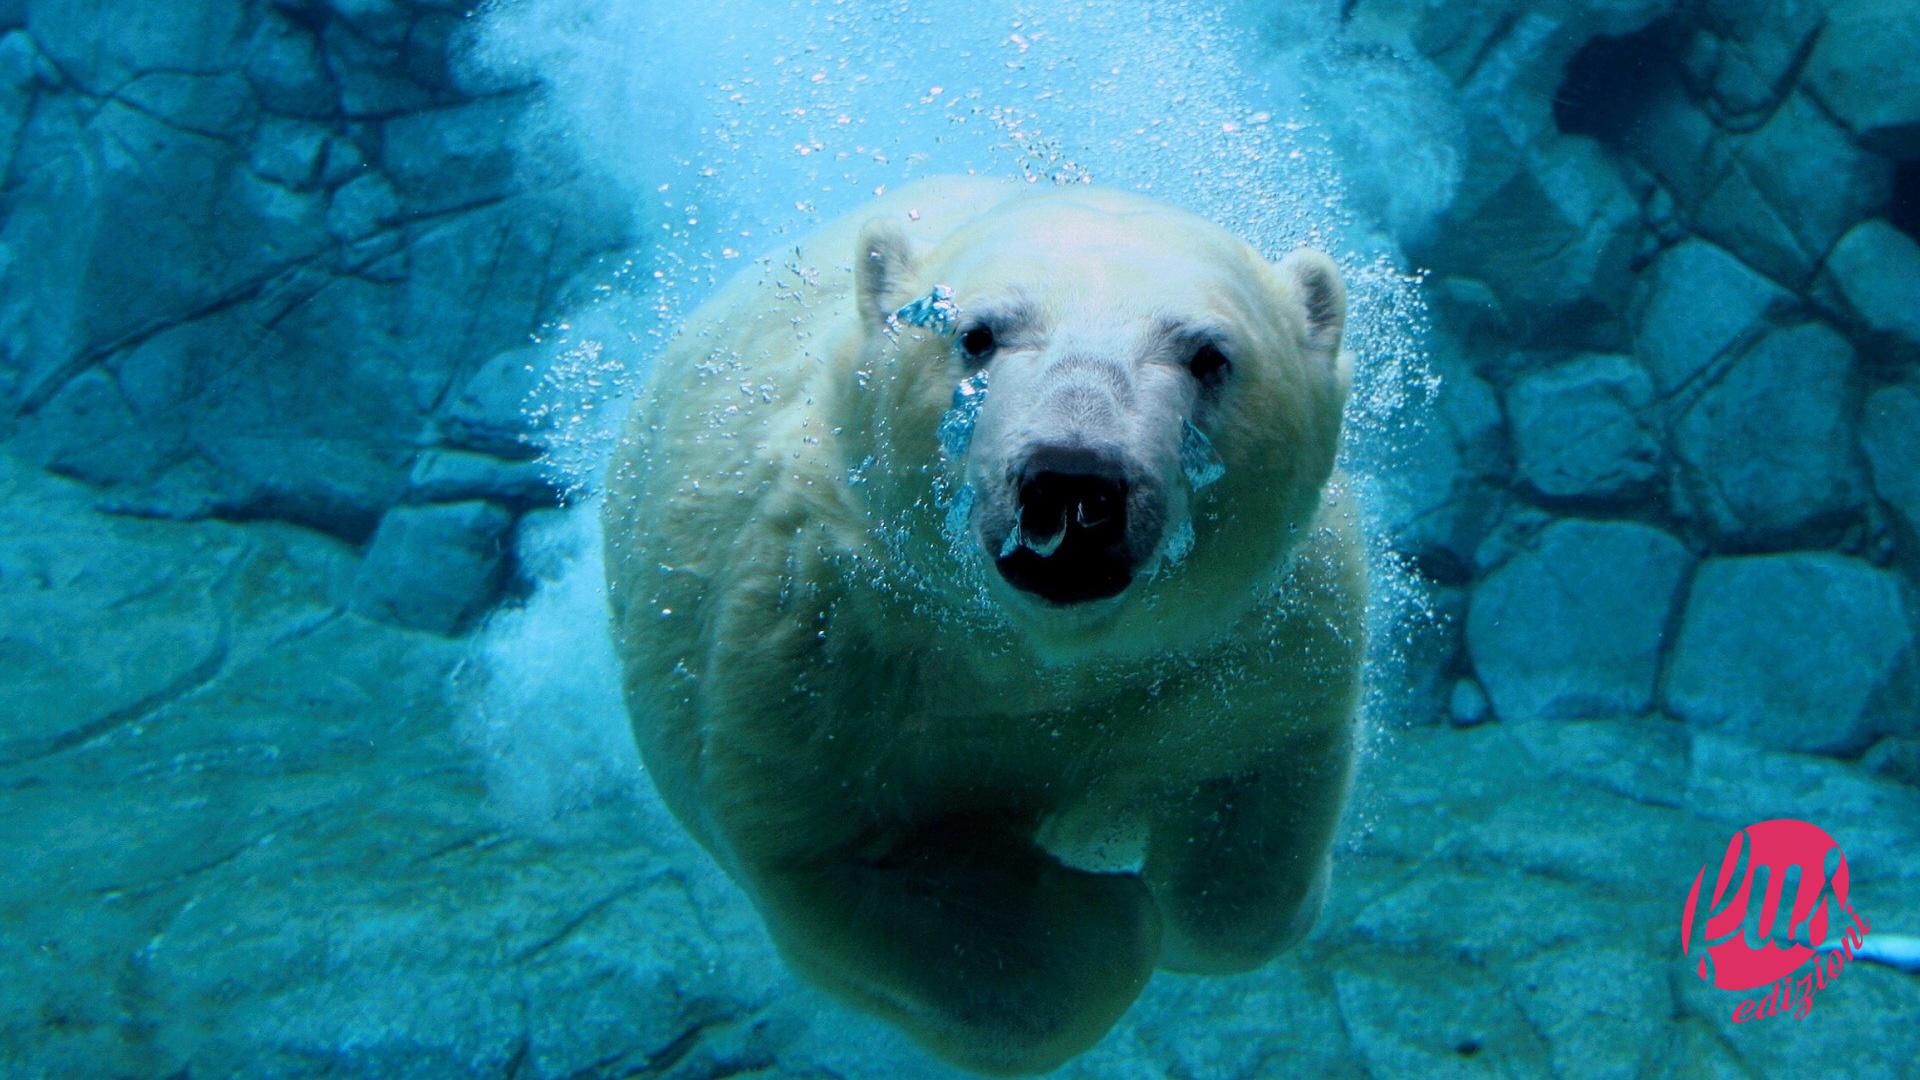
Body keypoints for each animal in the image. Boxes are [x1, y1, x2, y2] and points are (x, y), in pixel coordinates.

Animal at [599, 176, 1367, 1068]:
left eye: (1209, 355)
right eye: (975, 334)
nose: (1074, 482)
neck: (1036, 656)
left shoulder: (1254, 638)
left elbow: (1254, 820)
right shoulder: (818, 650)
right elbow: (849, 862)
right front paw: (1107, 914)